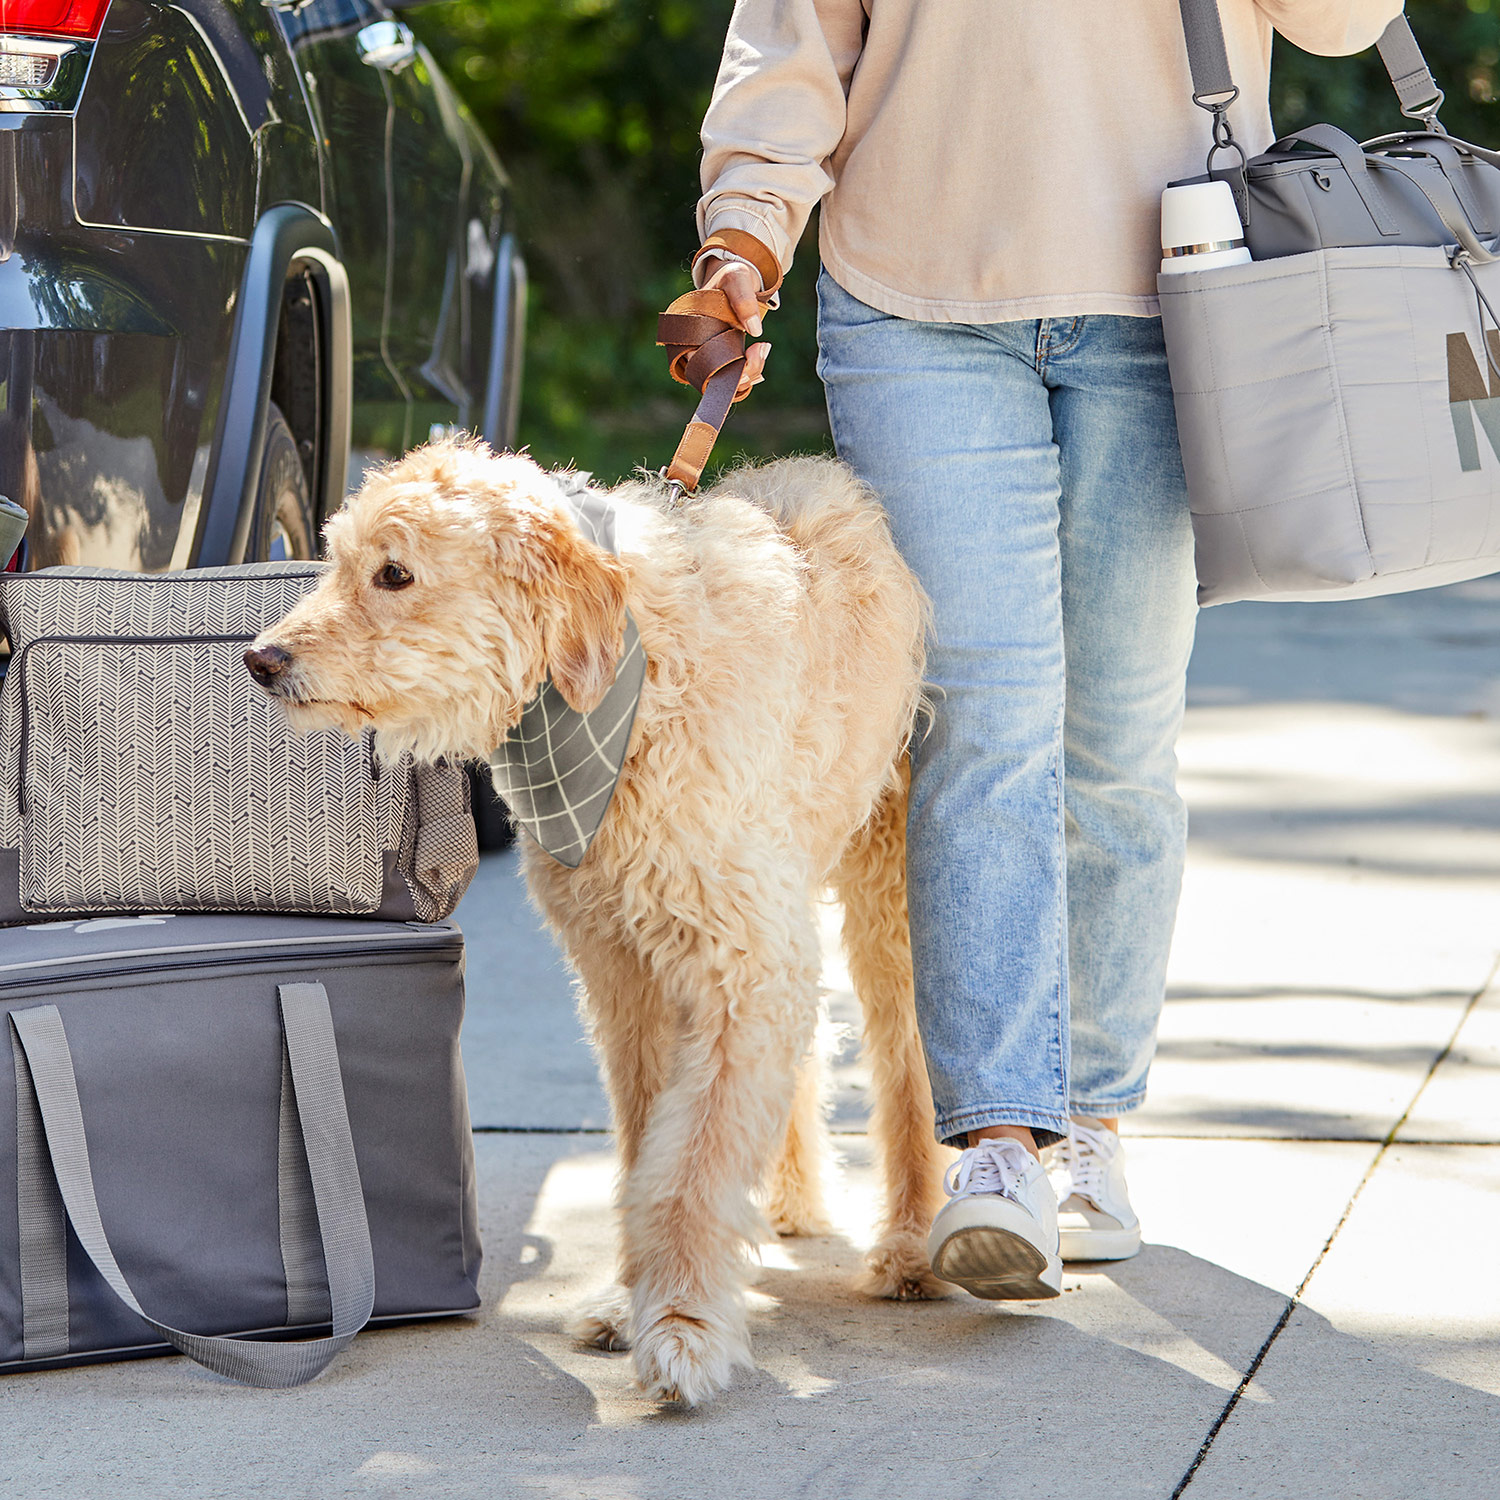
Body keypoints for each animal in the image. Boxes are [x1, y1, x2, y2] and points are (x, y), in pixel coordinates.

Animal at [246, 438, 948, 1398]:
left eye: (395, 573)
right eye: (338, 560)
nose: (260, 659)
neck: (626, 693)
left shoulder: (738, 967)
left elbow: (689, 1165)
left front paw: (684, 1323)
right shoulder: (629, 972)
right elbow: (649, 1148)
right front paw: (634, 1300)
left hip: (888, 894)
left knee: (905, 1059)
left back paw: (913, 1245)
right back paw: (793, 1200)